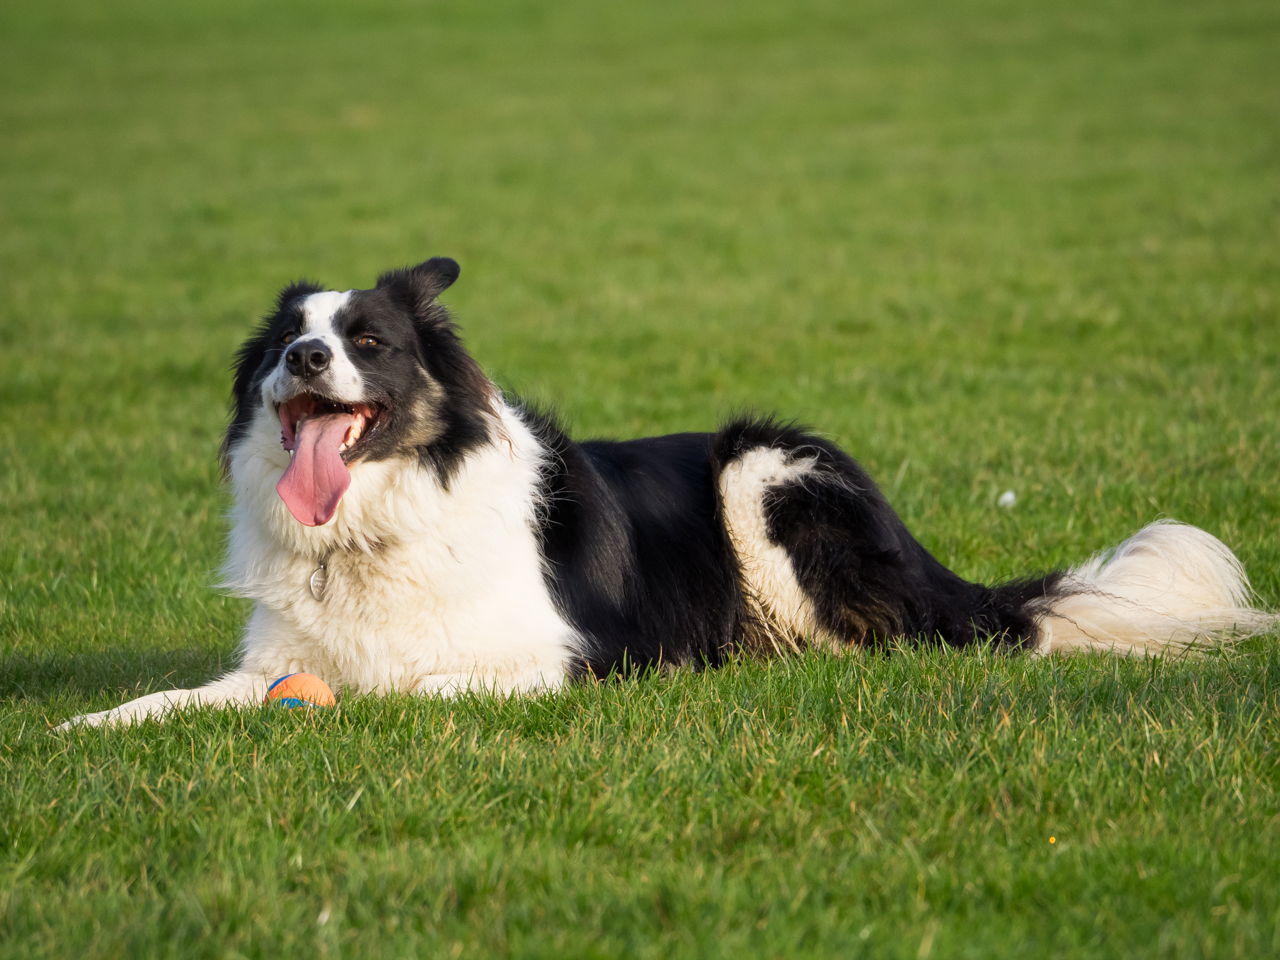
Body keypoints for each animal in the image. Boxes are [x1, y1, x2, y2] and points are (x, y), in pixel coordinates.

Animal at [64, 259, 1274, 727]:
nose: (307, 361)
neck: (376, 525)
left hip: (764, 469)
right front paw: (86, 724)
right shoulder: (271, 662)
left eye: (367, 341)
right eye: (287, 345)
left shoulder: (566, 656)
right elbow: (178, 698)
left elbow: (413, 686)